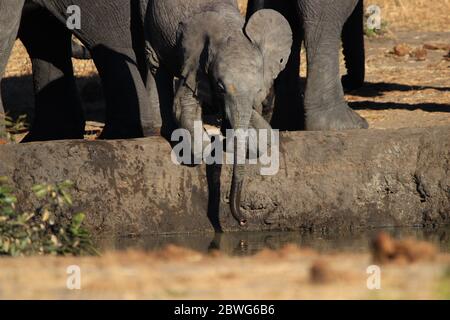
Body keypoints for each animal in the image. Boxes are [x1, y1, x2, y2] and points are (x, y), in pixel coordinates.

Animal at [142, 0, 294, 225]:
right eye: (221, 87)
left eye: (258, 89)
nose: (243, 220)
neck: (231, 29)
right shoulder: (194, 63)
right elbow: (184, 108)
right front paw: (212, 145)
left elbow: (260, 128)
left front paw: (231, 141)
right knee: (154, 63)